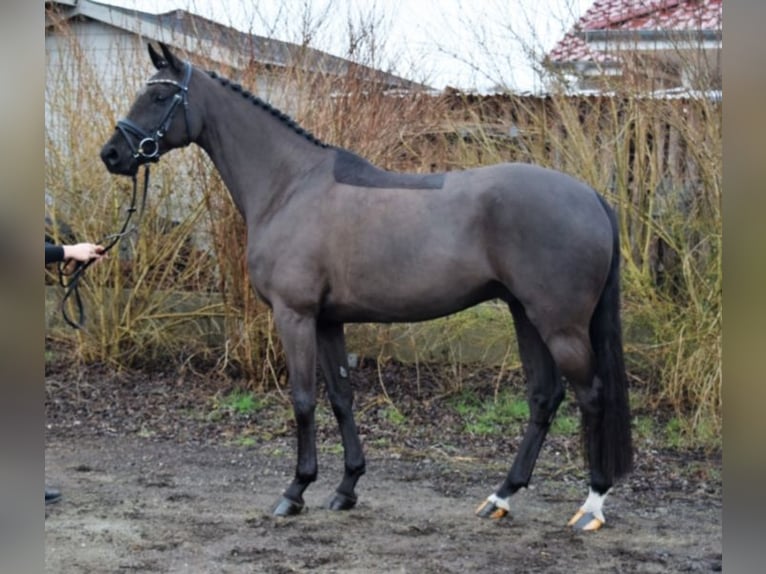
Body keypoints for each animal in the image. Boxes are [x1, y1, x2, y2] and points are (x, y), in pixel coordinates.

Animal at [99, 42, 632, 532]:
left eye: (160, 95)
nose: (112, 154)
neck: (290, 186)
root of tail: (590, 196)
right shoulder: (328, 321)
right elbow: (341, 397)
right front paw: (346, 487)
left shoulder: (294, 315)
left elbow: (303, 399)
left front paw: (295, 491)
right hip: (526, 314)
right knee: (544, 397)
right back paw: (500, 497)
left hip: (558, 324)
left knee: (591, 395)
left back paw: (591, 506)